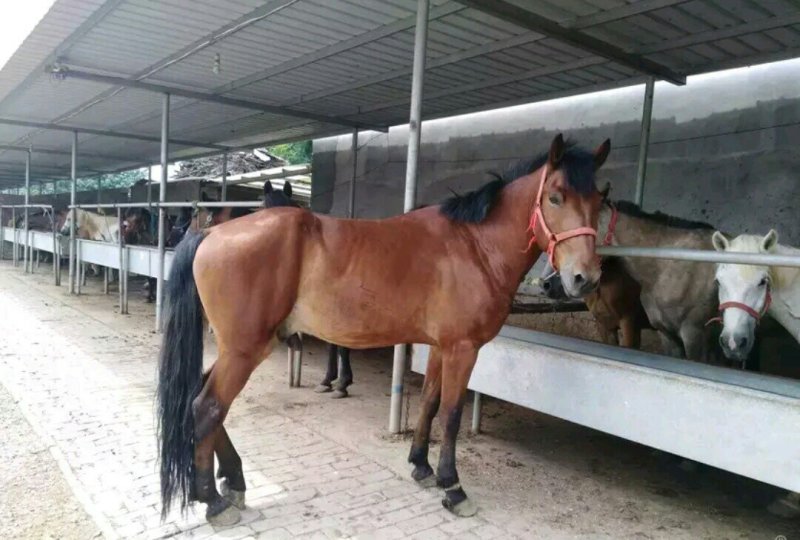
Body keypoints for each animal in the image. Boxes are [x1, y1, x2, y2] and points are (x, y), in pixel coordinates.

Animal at [156, 134, 610, 525]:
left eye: (600, 202)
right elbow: (452, 413)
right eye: (555, 197)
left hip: (240, 348)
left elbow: (429, 402)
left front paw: (421, 466)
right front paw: (453, 486)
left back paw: (232, 480)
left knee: (203, 398)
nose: (583, 278)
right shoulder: (463, 349)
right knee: (206, 408)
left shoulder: (441, 347)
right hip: (245, 350)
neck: (474, 246)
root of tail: (212, 231)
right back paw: (213, 501)